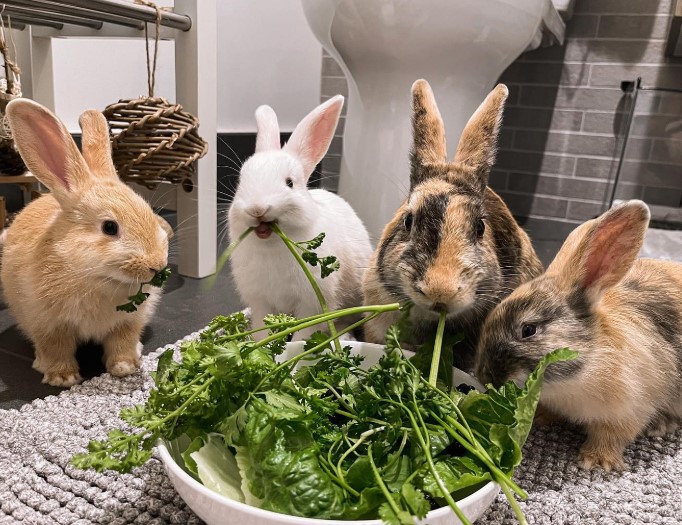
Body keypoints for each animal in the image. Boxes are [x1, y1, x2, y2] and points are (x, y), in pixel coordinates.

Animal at [1, 99, 171, 384]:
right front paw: (63, 378)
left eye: (148, 211)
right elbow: (55, 348)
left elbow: (122, 342)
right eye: (110, 227)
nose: (157, 265)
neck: (96, 278)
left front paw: (124, 367)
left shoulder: (129, 321)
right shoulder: (47, 323)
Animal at [226, 95, 370, 338]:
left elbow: (305, 332)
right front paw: (260, 343)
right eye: (240, 182)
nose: (257, 209)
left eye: (290, 183)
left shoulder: (312, 304)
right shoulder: (261, 302)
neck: (272, 247)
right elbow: (262, 328)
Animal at [476, 201, 680, 470]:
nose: (485, 376)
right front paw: (539, 417)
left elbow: (612, 436)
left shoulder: (630, 409)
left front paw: (596, 461)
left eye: (528, 330)